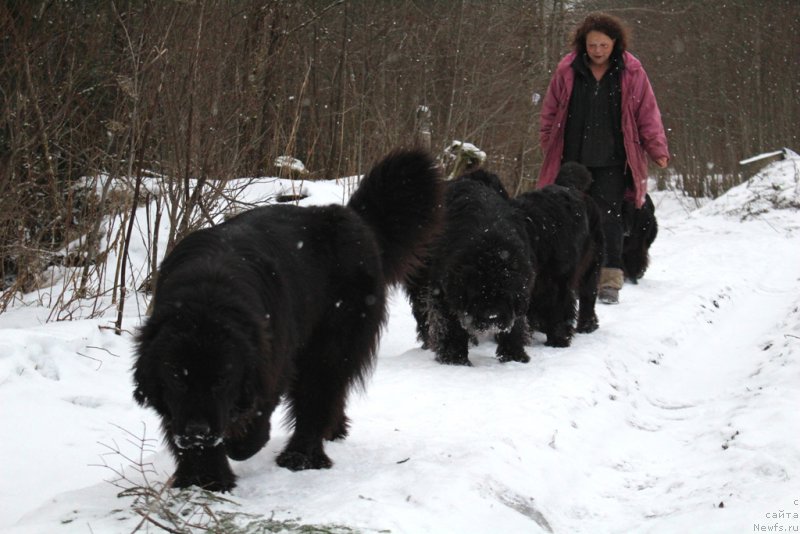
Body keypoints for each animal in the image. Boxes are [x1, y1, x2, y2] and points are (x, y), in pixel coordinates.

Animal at [134, 149, 440, 492]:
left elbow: (256, 414)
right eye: (176, 376)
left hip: (332, 340)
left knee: (317, 395)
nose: (197, 432)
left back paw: (302, 457)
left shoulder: (270, 361)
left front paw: (238, 446)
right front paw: (204, 479)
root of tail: (355, 221)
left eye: (223, 379)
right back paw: (332, 431)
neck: (206, 297)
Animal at [406, 172, 536, 368]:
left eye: (505, 294)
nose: (492, 317)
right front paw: (454, 359)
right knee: (422, 313)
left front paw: (515, 356)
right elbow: (450, 326)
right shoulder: (443, 290)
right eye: (477, 293)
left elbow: (515, 326)